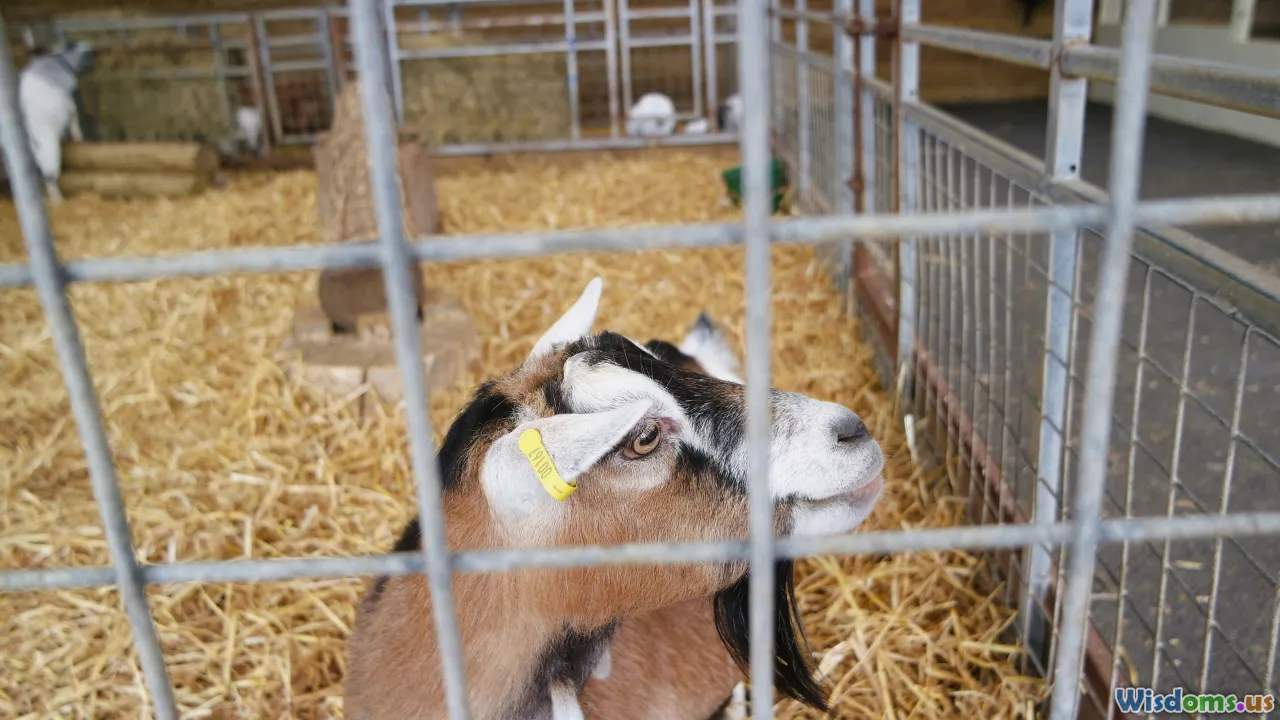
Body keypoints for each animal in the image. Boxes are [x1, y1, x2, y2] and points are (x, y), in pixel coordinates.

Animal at [18, 41, 93, 204]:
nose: (94, 63)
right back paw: (57, 200)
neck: (62, 60)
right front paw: (79, 138)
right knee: (49, 175)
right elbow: (74, 117)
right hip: (49, 149)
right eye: (88, 53)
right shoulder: (69, 103)